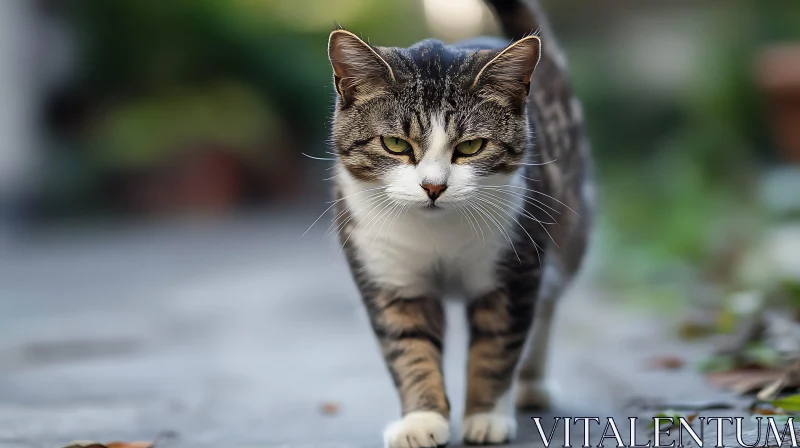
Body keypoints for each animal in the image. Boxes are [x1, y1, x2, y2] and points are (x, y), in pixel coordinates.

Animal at [324, 0, 592, 446]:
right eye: (395, 143)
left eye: (470, 147)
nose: (433, 187)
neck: (437, 234)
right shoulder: (387, 271)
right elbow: (408, 348)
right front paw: (422, 419)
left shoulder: (514, 267)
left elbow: (496, 348)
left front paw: (486, 416)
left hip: (569, 233)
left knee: (547, 305)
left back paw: (532, 384)